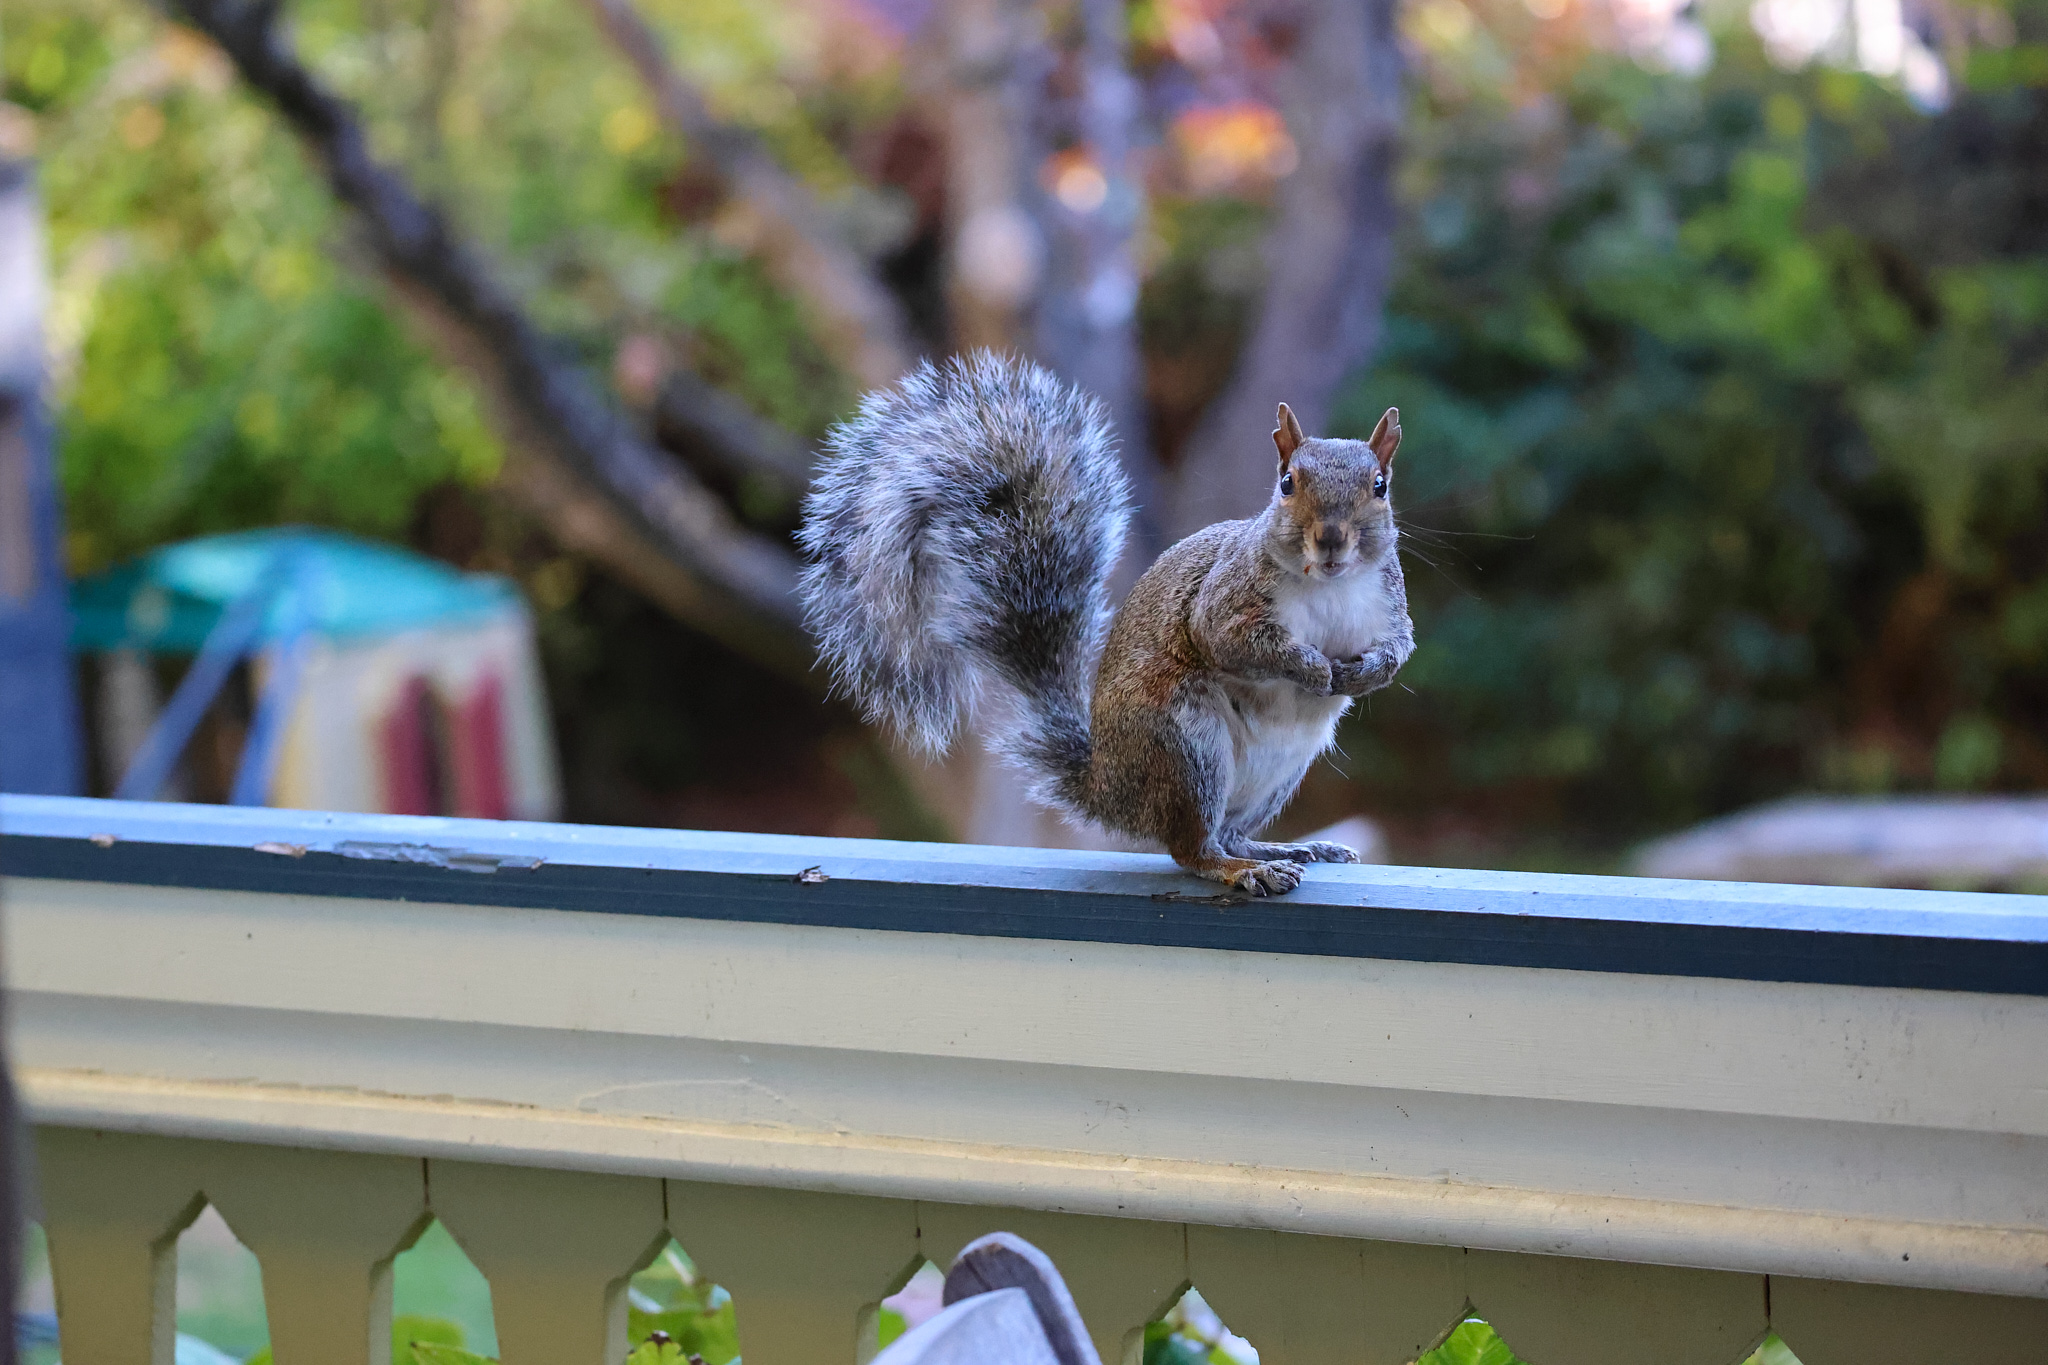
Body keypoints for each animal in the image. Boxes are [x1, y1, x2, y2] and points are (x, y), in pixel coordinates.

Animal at [799, 351, 1413, 896]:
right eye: (1286, 483)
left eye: (1380, 486)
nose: (1330, 539)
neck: (1328, 585)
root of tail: (1108, 789)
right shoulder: (1224, 598)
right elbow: (1229, 640)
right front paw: (1308, 666)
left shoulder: (1390, 605)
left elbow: (1397, 650)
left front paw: (1363, 673)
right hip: (1186, 745)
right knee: (1193, 848)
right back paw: (1243, 870)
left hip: (1278, 771)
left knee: (1231, 832)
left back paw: (1288, 848)